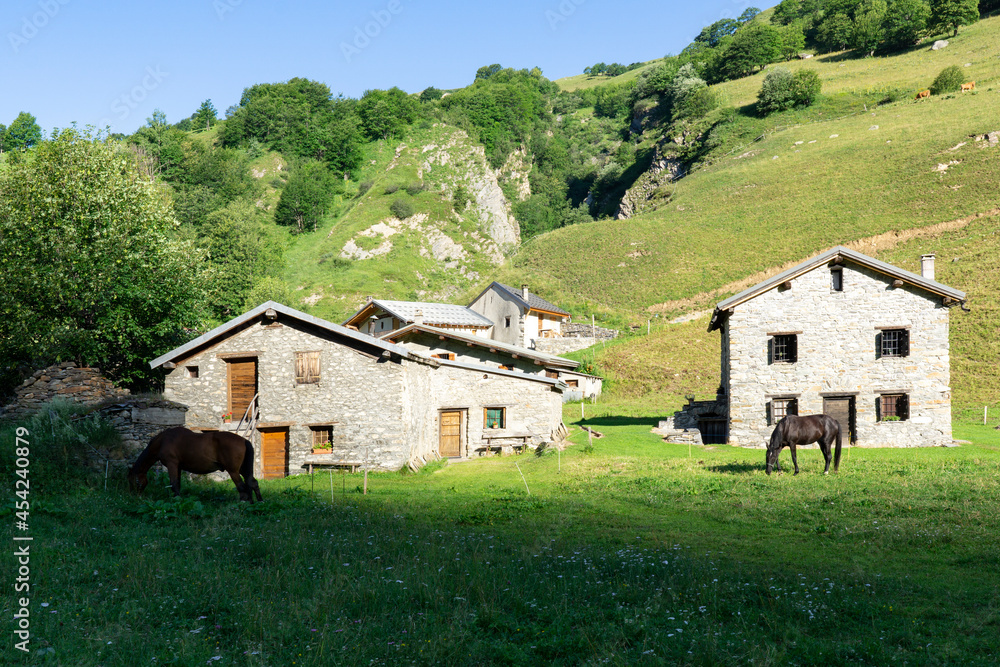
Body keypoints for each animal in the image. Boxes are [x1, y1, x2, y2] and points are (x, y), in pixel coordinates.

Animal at [128, 430, 262, 504]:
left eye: (132, 480)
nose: (134, 495)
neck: (163, 441)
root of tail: (244, 440)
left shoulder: (172, 464)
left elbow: (173, 483)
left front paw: (177, 500)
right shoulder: (178, 467)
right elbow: (178, 484)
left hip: (233, 471)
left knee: (242, 487)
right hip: (244, 470)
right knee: (252, 483)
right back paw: (258, 502)